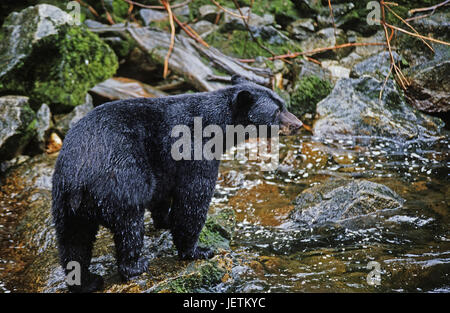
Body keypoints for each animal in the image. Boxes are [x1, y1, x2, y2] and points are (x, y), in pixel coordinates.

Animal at [51, 74, 302, 292]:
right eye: (277, 110)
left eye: (283, 104)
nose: (298, 124)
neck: (216, 127)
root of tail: (80, 176)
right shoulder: (195, 152)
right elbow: (192, 201)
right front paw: (198, 250)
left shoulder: (163, 166)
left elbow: (162, 194)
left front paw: (165, 220)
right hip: (121, 180)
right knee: (128, 227)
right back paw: (135, 266)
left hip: (64, 200)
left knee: (73, 242)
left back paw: (85, 280)